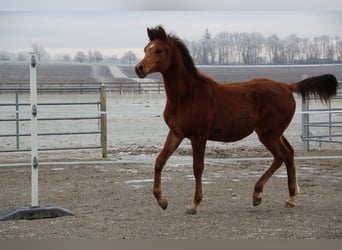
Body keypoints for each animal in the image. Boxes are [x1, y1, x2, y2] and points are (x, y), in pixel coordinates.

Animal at [135, 25, 338, 214]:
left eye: (159, 50)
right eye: (145, 49)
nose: (139, 69)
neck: (187, 96)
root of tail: (287, 87)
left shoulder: (198, 137)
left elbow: (197, 168)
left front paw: (194, 204)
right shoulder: (176, 133)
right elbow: (159, 161)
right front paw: (162, 201)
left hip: (268, 134)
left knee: (282, 155)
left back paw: (258, 194)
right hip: (275, 132)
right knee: (289, 153)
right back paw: (290, 197)